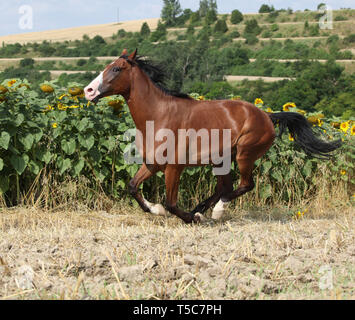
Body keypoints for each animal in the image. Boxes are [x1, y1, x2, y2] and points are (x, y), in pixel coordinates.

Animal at [85, 48, 344, 224]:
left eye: (116, 68)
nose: (88, 90)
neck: (158, 115)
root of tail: (267, 116)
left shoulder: (174, 167)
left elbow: (171, 202)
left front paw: (189, 217)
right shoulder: (152, 164)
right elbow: (132, 187)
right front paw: (157, 209)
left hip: (244, 155)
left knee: (244, 185)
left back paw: (215, 211)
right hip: (222, 160)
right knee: (225, 187)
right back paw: (202, 209)